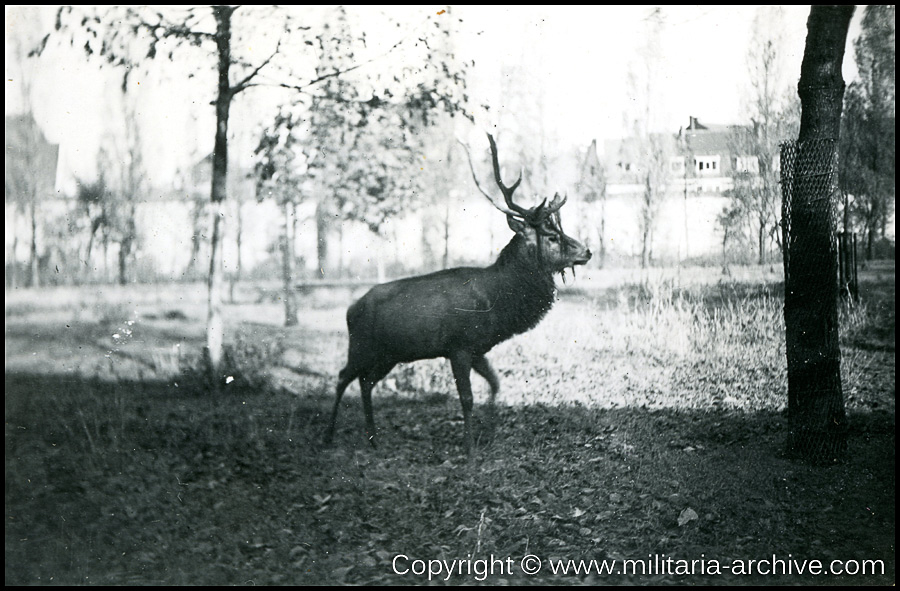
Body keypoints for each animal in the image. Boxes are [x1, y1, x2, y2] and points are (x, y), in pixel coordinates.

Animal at [326, 133, 596, 458]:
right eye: (552, 236)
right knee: (343, 376)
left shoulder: (479, 348)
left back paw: (373, 438)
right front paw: (469, 448)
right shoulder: (459, 346)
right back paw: (327, 435)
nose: (587, 251)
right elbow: (466, 398)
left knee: (366, 382)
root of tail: (350, 308)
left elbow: (495, 384)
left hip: (388, 353)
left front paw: (489, 435)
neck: (496, 302)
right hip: (361, 345)